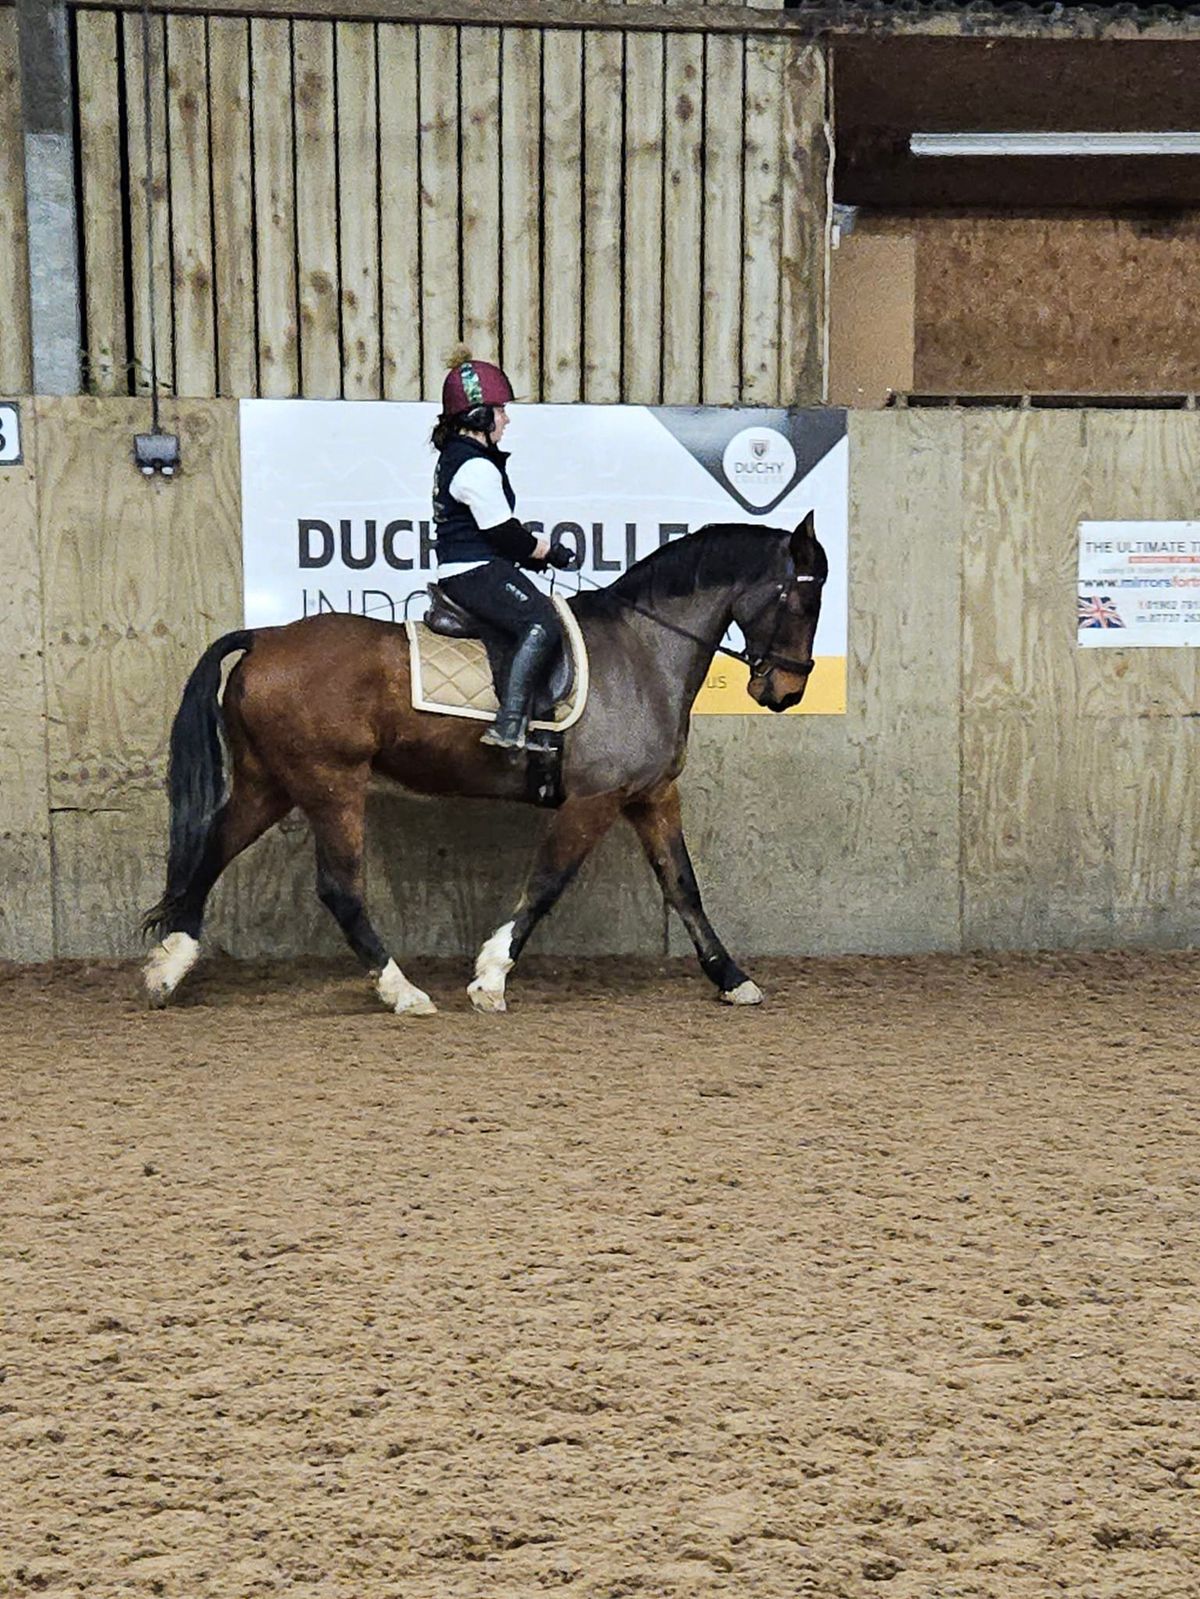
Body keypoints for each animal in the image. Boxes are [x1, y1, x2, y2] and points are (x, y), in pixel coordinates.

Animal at [143, 514, 825, 1010]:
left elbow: (683, 886)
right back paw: (402, 991)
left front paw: (733, 978)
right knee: (340, 888)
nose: (785, 693)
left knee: (212, 850)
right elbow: (547, 883)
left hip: (269, 783)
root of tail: (265, 637)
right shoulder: (594, 799)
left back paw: (168, 970)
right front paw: (491, 977)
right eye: (802, 601)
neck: (643, 652)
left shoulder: (651, 796)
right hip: (330, 785)